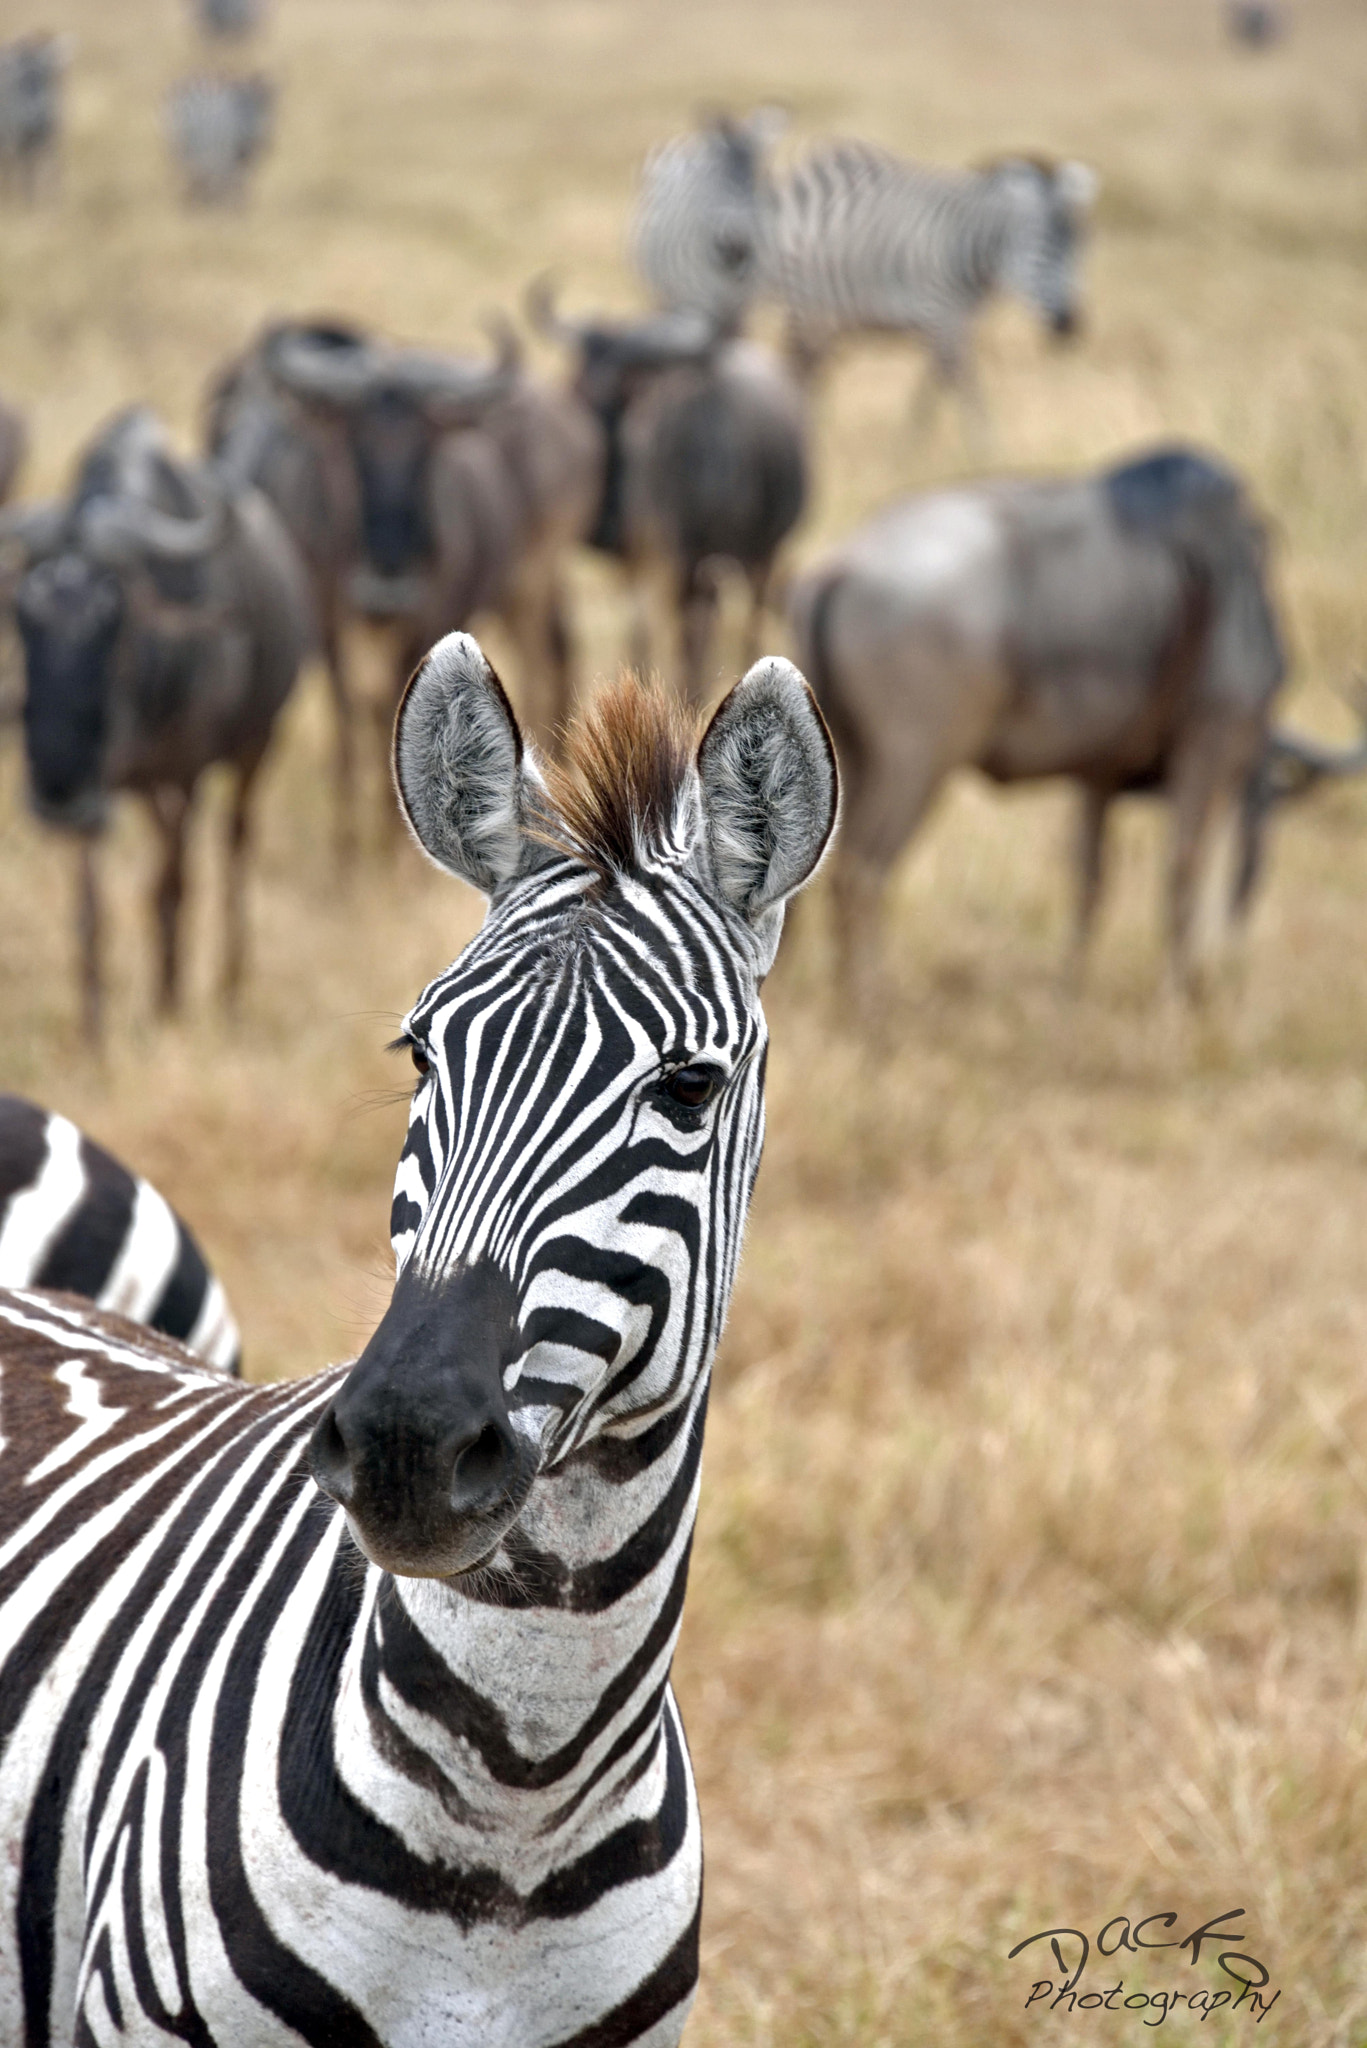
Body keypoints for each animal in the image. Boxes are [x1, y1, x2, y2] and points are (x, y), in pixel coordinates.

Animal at [0, 34, 70, 200]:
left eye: (45, 73)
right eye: (20, 78)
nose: (35, 115)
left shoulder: (50, 142)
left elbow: (53, 172)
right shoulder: (18, 144)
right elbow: (27, 177)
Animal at [627, 103, 786, 333]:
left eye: (760, 181)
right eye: (718, 180)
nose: (740, 241)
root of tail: (690, 141)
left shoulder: (741, 307)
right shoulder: (695, 305)